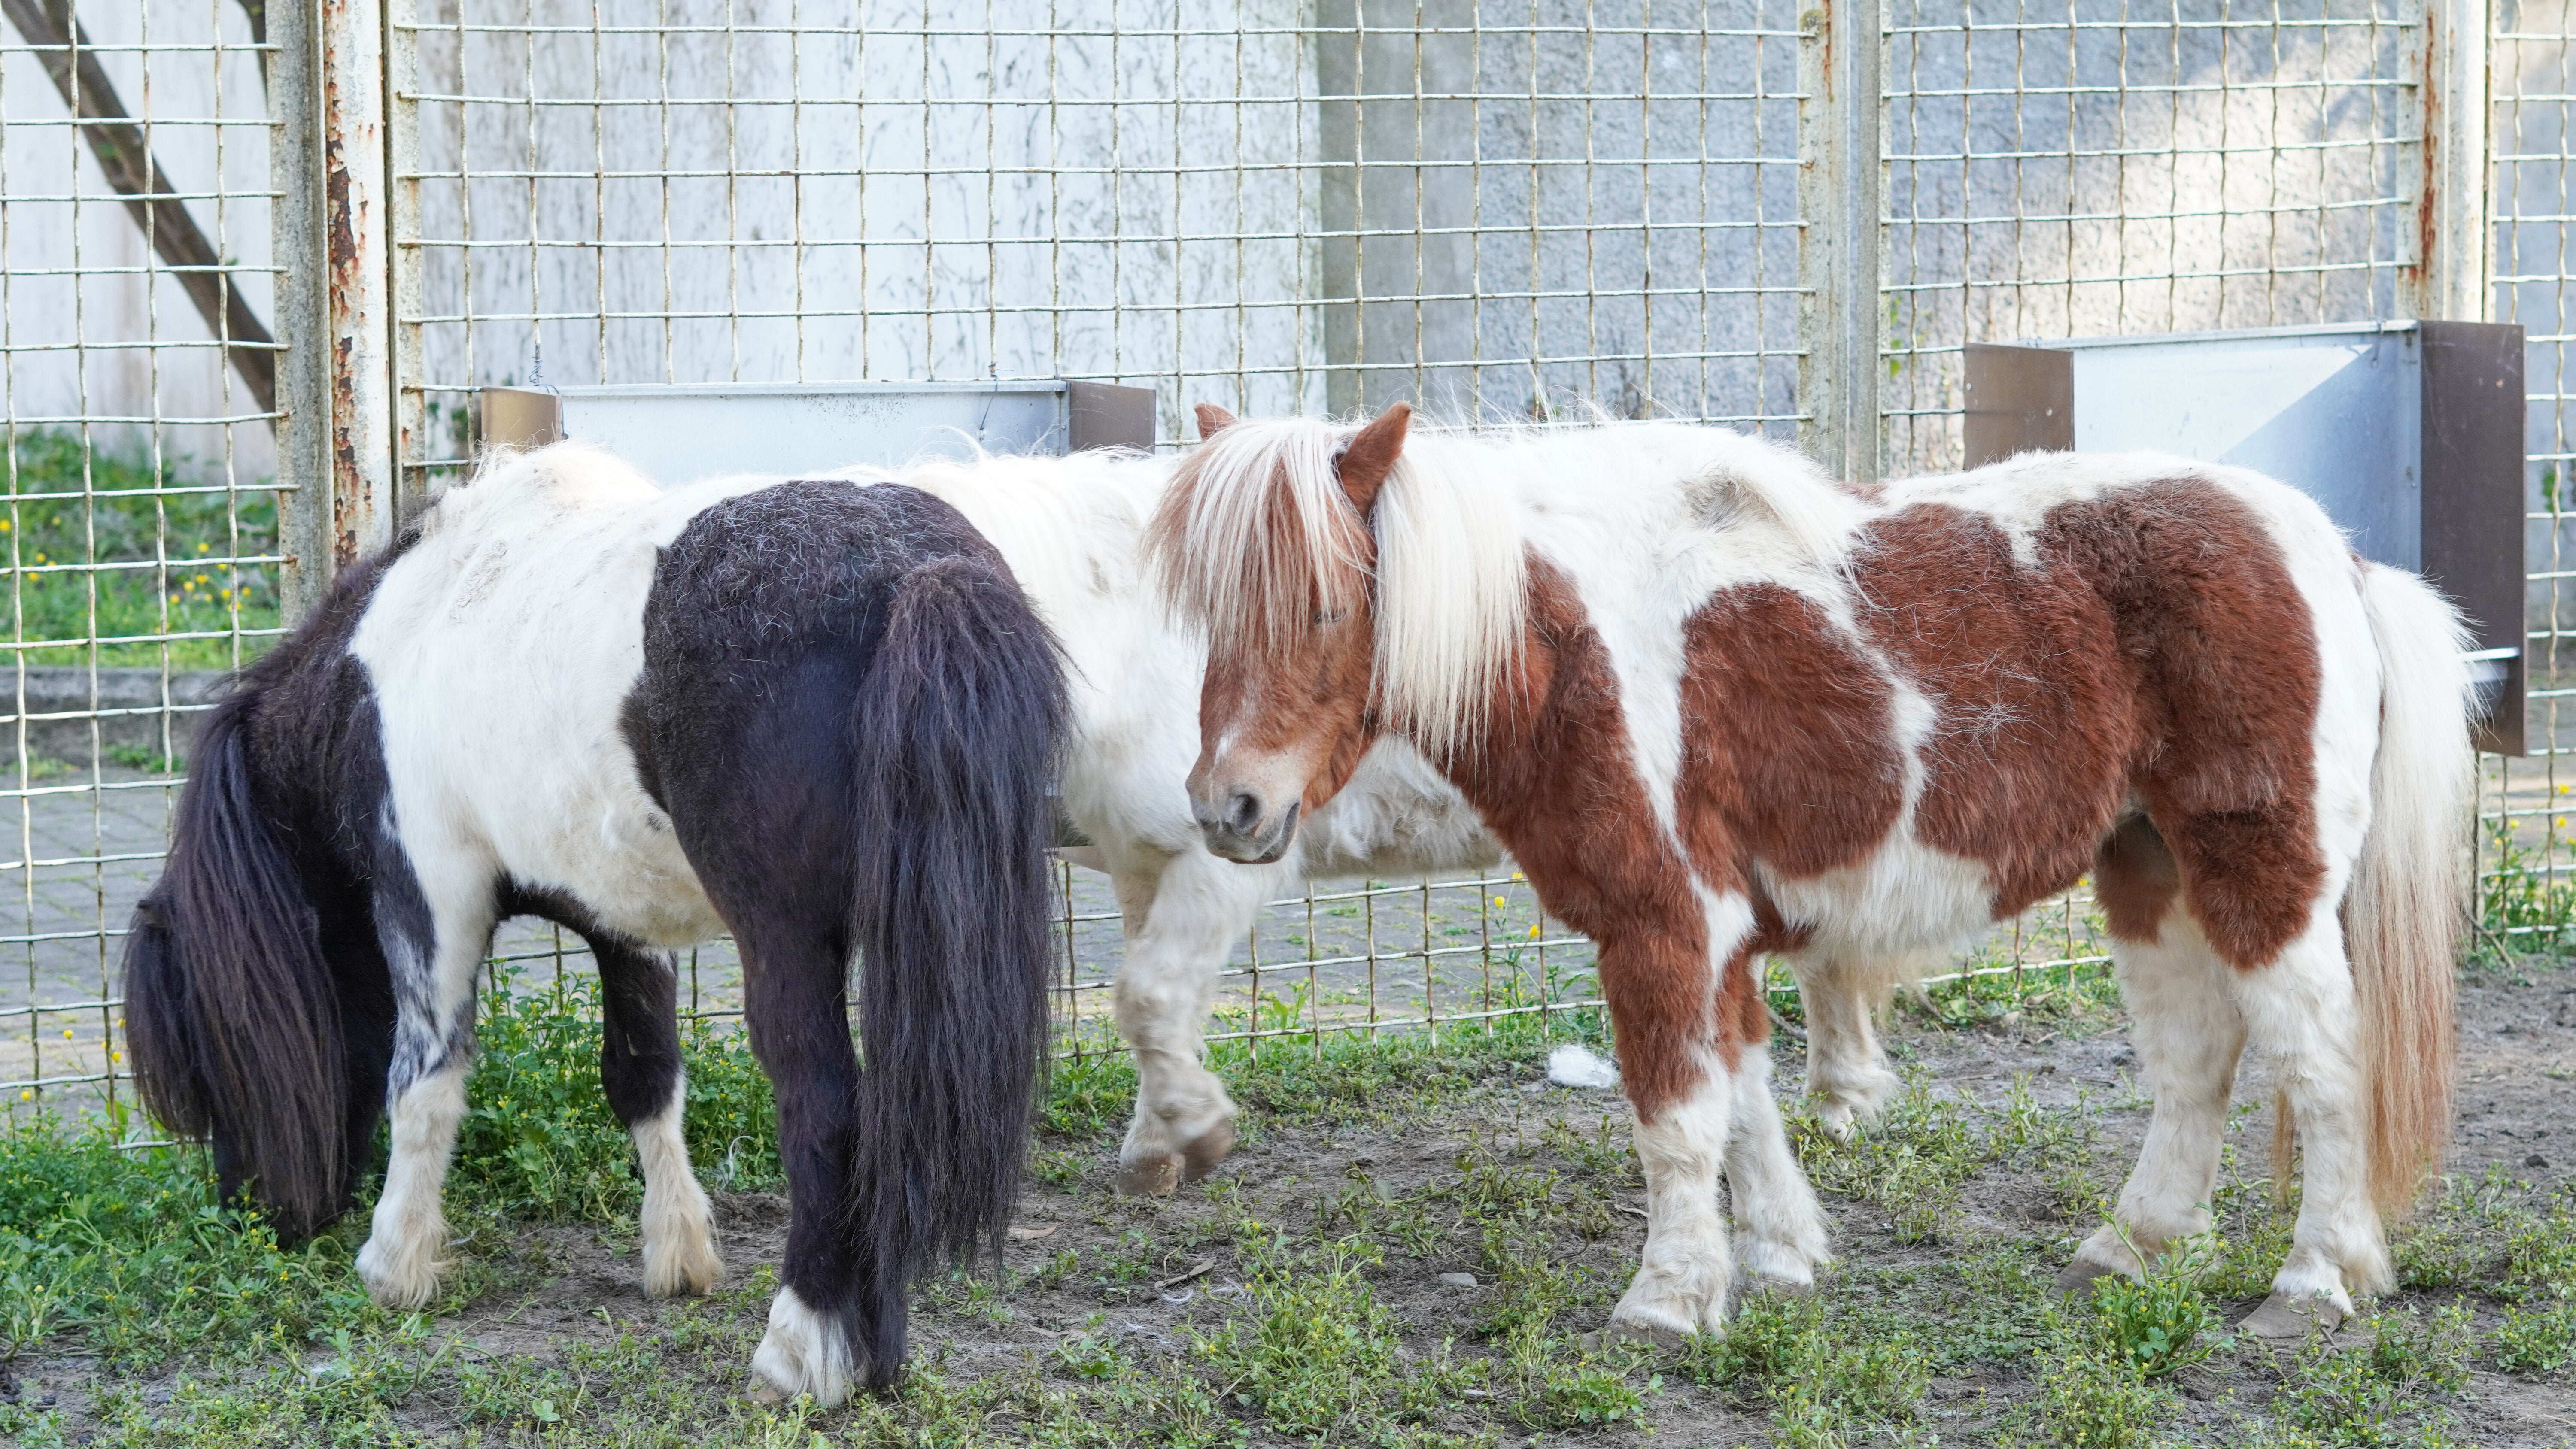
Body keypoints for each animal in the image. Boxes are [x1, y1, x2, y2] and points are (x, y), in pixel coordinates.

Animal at [122, 445, 1068, 1405]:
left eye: (205, 1048)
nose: (253, 1212)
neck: (387, 655)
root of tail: (920, 571)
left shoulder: (431, 892)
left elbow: (424, 1079)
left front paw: (396, 1263)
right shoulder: (622, 916)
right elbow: (644, 1076)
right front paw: (679, 1254)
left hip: (787, 944)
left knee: (828, 1108)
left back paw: (799, 1348)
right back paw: (876, 1352)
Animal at [1150, 402, 2474, 1343]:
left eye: (1328, 604)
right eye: (1209, 615)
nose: (1229, 807)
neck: (1574, 647)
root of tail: (2337, 556)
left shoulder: (1663, 925)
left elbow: (1676, 1116)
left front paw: (1669, 1300)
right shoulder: (1718, 932)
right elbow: (1743, 1096)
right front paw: (1781, 1260)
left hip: (2265, 869)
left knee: (2321, 1058)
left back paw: (2315, 1281)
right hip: (2149, 868)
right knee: (2197, 1059)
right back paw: (2135, 1245)